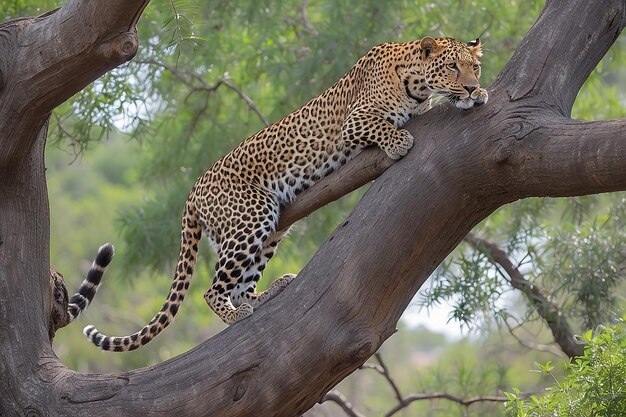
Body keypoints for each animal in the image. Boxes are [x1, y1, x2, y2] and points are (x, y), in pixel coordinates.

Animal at [80, 35, 486, 350]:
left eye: (475, 68)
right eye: (452, 67)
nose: (469, 86)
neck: (415, 85)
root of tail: (193, 190)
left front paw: (477, 95)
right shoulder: (355, 121)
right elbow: (382, 126)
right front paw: (401, 141)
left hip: (270, 230)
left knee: (241, 286)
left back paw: (269, 292)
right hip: (250, 218)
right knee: (212, 291)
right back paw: (236, 313)